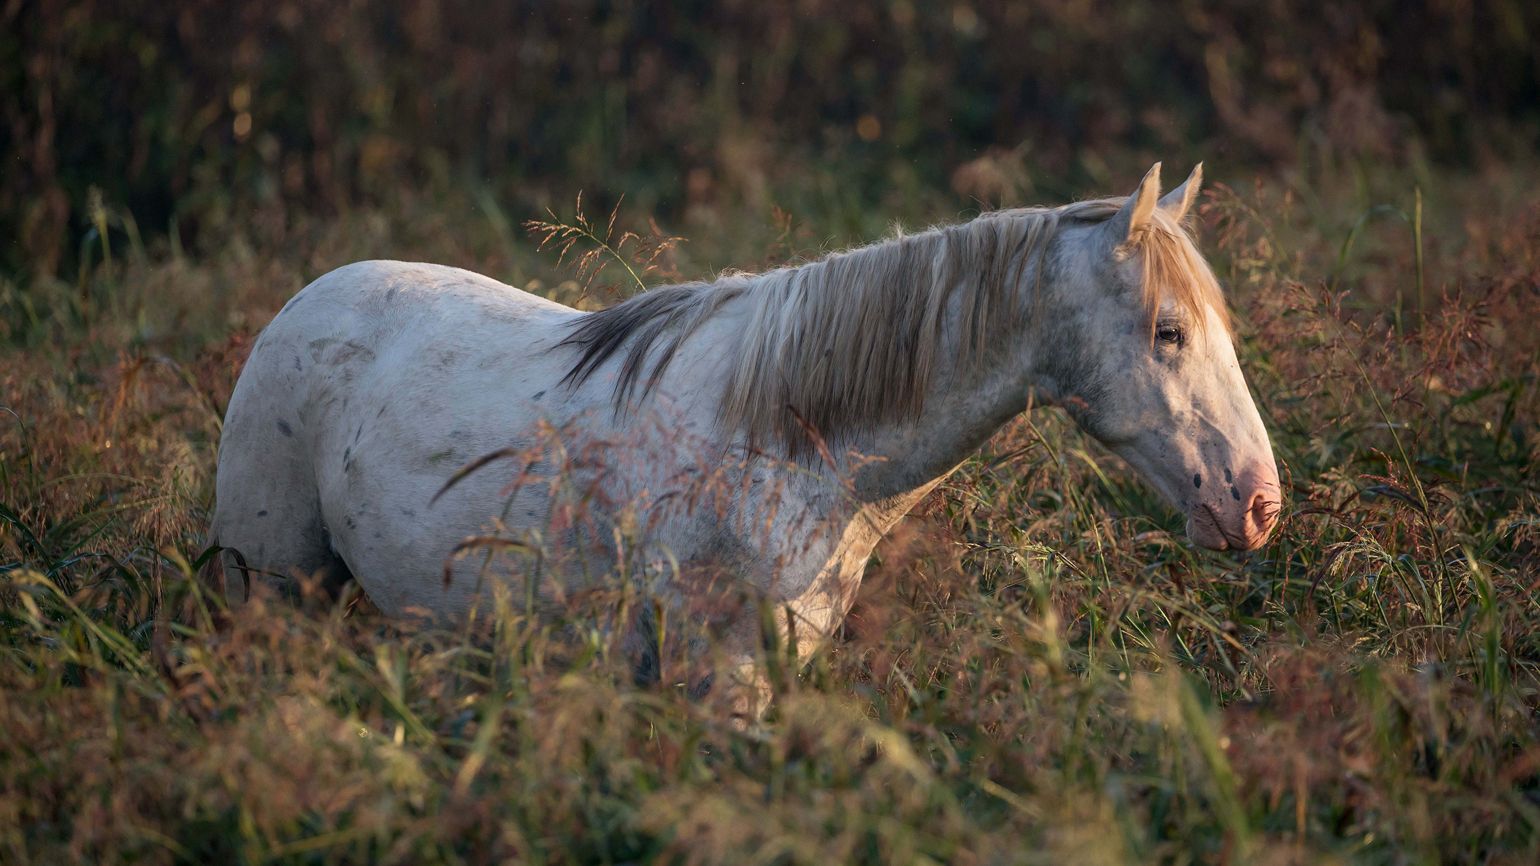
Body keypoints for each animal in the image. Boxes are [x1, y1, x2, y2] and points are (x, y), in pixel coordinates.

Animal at [210, 164, 1281, 711]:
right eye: (1168, 332)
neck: (797, 449)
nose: (1257, 503)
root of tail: (305, 301)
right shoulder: (712, 678)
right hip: (271, 586)